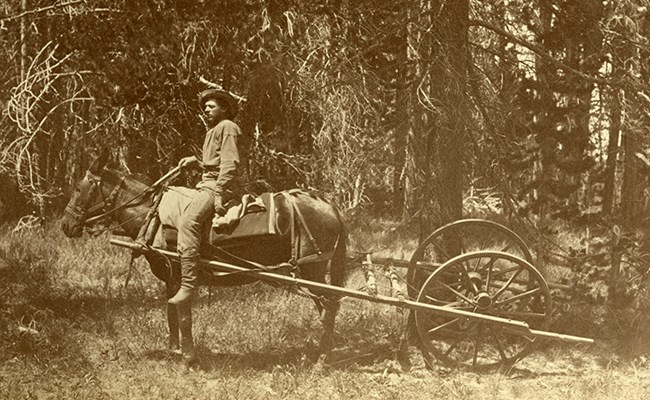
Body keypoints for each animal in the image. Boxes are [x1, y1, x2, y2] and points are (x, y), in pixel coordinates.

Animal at [60, 152, 344, 366]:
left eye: (78, 188)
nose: (65, 225)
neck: (154, 217)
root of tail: (329, 205)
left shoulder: (183, 275)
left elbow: (184, 316)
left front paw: (190, 359)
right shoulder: (171, 280)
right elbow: (172, 314)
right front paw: (175, 350)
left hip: (314, 270)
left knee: (329, 307)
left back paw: (322, 359)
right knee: (329, 307)